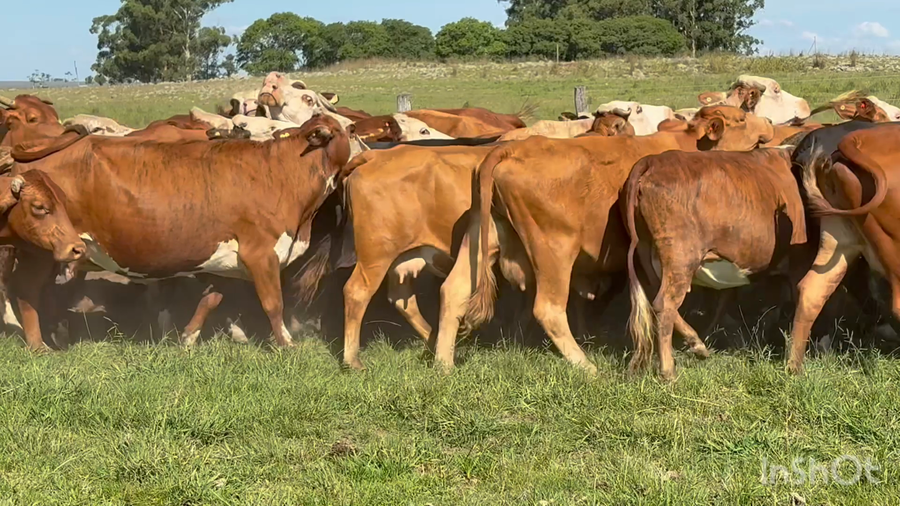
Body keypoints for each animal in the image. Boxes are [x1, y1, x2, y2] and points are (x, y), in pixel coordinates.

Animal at [9, 113, 352, 350]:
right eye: (349, 130)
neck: (282, 172)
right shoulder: (261, 254)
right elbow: (273, 303)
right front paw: (286, 344)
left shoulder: (226, 259)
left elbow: (210, 300)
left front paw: (188, 338)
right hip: (43, 250)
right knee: (25, 289)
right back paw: (38, 343)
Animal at [433, 106, 775, 373]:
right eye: (741, 118)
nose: (770, 122)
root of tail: (511, 149)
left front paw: (695, 341)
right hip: (554, 252)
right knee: (548, 308)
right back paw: (586, 366)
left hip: (482, 238)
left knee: (453, 290)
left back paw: (443, 365)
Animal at [623, 149, 806, 380]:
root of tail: (653, 160)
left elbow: (724, 301)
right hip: (681, 255)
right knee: (665, 304)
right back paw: (669, 371)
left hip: (649, 253)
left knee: (657, 300)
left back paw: (698, 345)